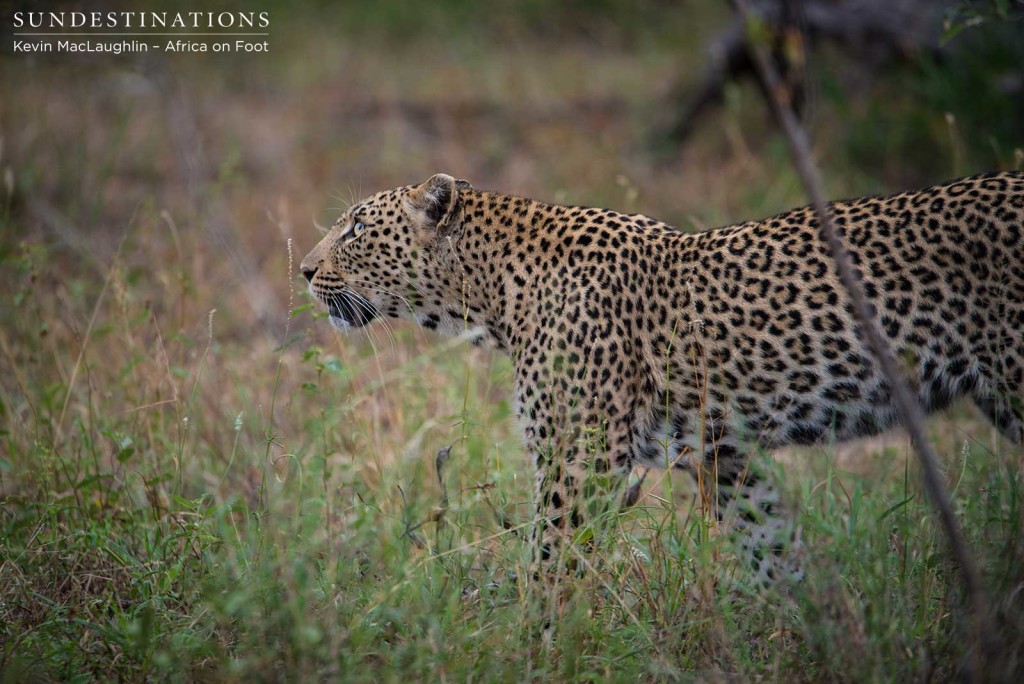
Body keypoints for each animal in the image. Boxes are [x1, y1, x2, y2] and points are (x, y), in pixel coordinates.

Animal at [299, 171, 1024, 581]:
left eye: (356, 228)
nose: (303, 270)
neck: (491, 295)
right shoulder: (726, 458)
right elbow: (777, 557)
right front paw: (829, 640)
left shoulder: (579, 462)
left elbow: (549, 577)